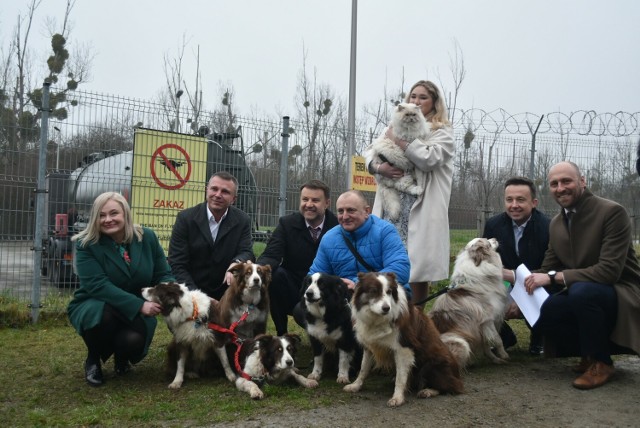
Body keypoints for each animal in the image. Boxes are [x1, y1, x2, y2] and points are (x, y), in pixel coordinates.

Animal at [342, 272, 462, 406]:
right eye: (373, 291)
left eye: (389, 291)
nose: (386, 308)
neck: (377, 319)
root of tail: (457, 372)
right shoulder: (370, 346)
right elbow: (363, 369)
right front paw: (355, 385)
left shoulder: (404, 348)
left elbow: (400, 377)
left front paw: (397, 398)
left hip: (431, 366)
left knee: (453, 387)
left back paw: (428, 391)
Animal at [430, 237, 510, 368]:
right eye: (488, 243)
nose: (495, 238)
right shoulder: (488, 320)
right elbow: (498, 339)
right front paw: (504, 355)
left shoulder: (481, 328)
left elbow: (486, 345)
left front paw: (496, 359)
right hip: (460, 342)